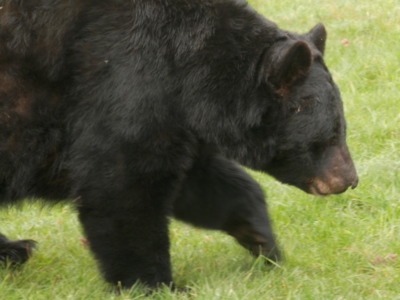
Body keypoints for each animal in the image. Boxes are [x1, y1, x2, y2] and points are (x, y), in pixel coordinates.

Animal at [0, 0, 356, 288]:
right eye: (329, 135)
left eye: (342, 129)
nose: (349, 180)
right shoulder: (124, 79)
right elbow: (121, 187)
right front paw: (154, 284)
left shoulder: (179, 118)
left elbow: (206, 186)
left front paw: (263, 241)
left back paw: (15, 249)